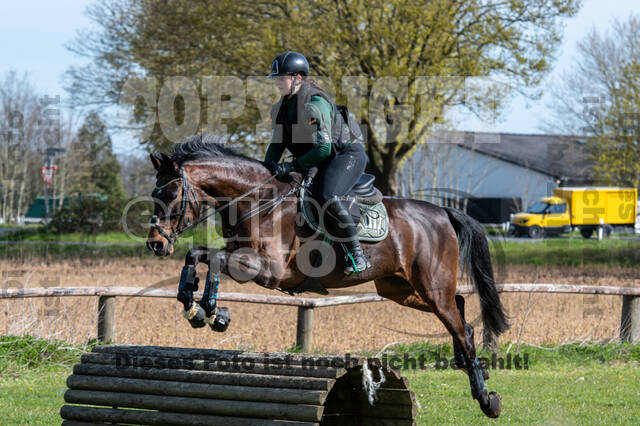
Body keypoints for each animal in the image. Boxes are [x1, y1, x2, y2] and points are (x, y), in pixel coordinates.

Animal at [146, 135, 510, 418]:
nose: (156, 244)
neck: (257, 201)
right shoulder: (243, 256)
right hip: (400, 289)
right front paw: (196, 307)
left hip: (431, 286)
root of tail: (442, 212)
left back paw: (486, 399)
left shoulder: (269, 271)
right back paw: (472, 367)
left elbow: (216, 261)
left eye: (172, 195)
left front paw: (212, 312)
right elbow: (197, 255)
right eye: (154, 195)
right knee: (461, 312)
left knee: (459, 325)